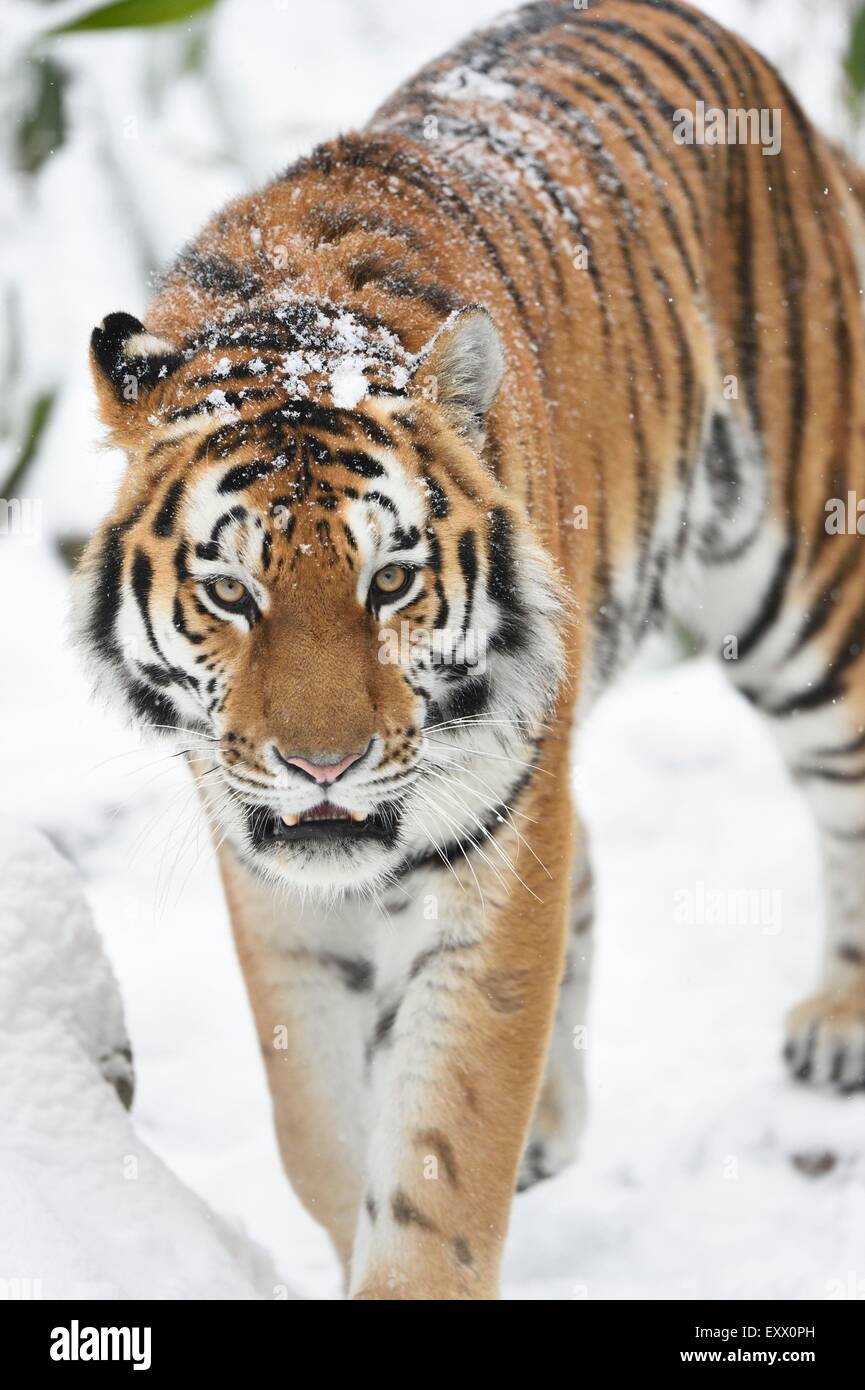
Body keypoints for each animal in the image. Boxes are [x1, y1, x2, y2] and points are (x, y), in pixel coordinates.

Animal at [74, 2, 865, 1301]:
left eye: (389, 581)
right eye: (231, 592)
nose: (324, 767)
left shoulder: (490, 861)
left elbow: (443, 1144)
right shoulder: (274, 887)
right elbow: (320, 1129)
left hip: (805, 582)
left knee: (847, 782)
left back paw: (838, 1020)